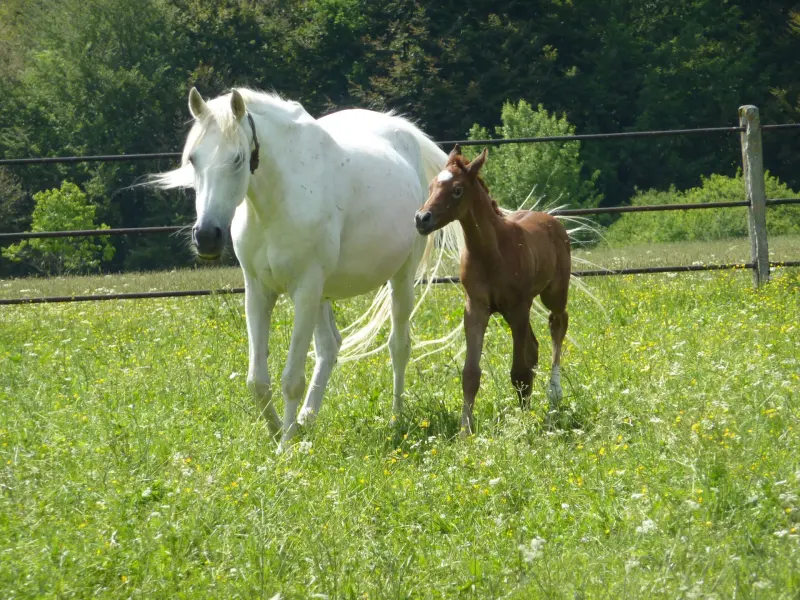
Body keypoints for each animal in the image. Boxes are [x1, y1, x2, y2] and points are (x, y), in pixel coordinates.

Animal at [152, 87, 459, 445]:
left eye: (238, 158)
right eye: (192, 159)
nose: (206, 237)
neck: (277, 203)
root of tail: (403, 132)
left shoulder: (305, 289)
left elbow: (291, 379)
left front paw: (284, 446)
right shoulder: (259, 292)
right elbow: (257, 380)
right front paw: (276, 433)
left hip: (399, 278)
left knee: (399, 345)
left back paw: (395, 418)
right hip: (323, 295)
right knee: (329, 347)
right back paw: (306, 420)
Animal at [414, 145, 570, 435]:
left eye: (457, 189)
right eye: (431, 186)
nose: (421, 219)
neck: (491, 252)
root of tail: (550, 219)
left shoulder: (517, 307)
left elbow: (519, 371)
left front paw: (524, 425)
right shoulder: (476, 308)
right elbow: (470, 373)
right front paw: (465, 431)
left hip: (553, 293)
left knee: (558, 324)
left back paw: (554, 394)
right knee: (534, 347)